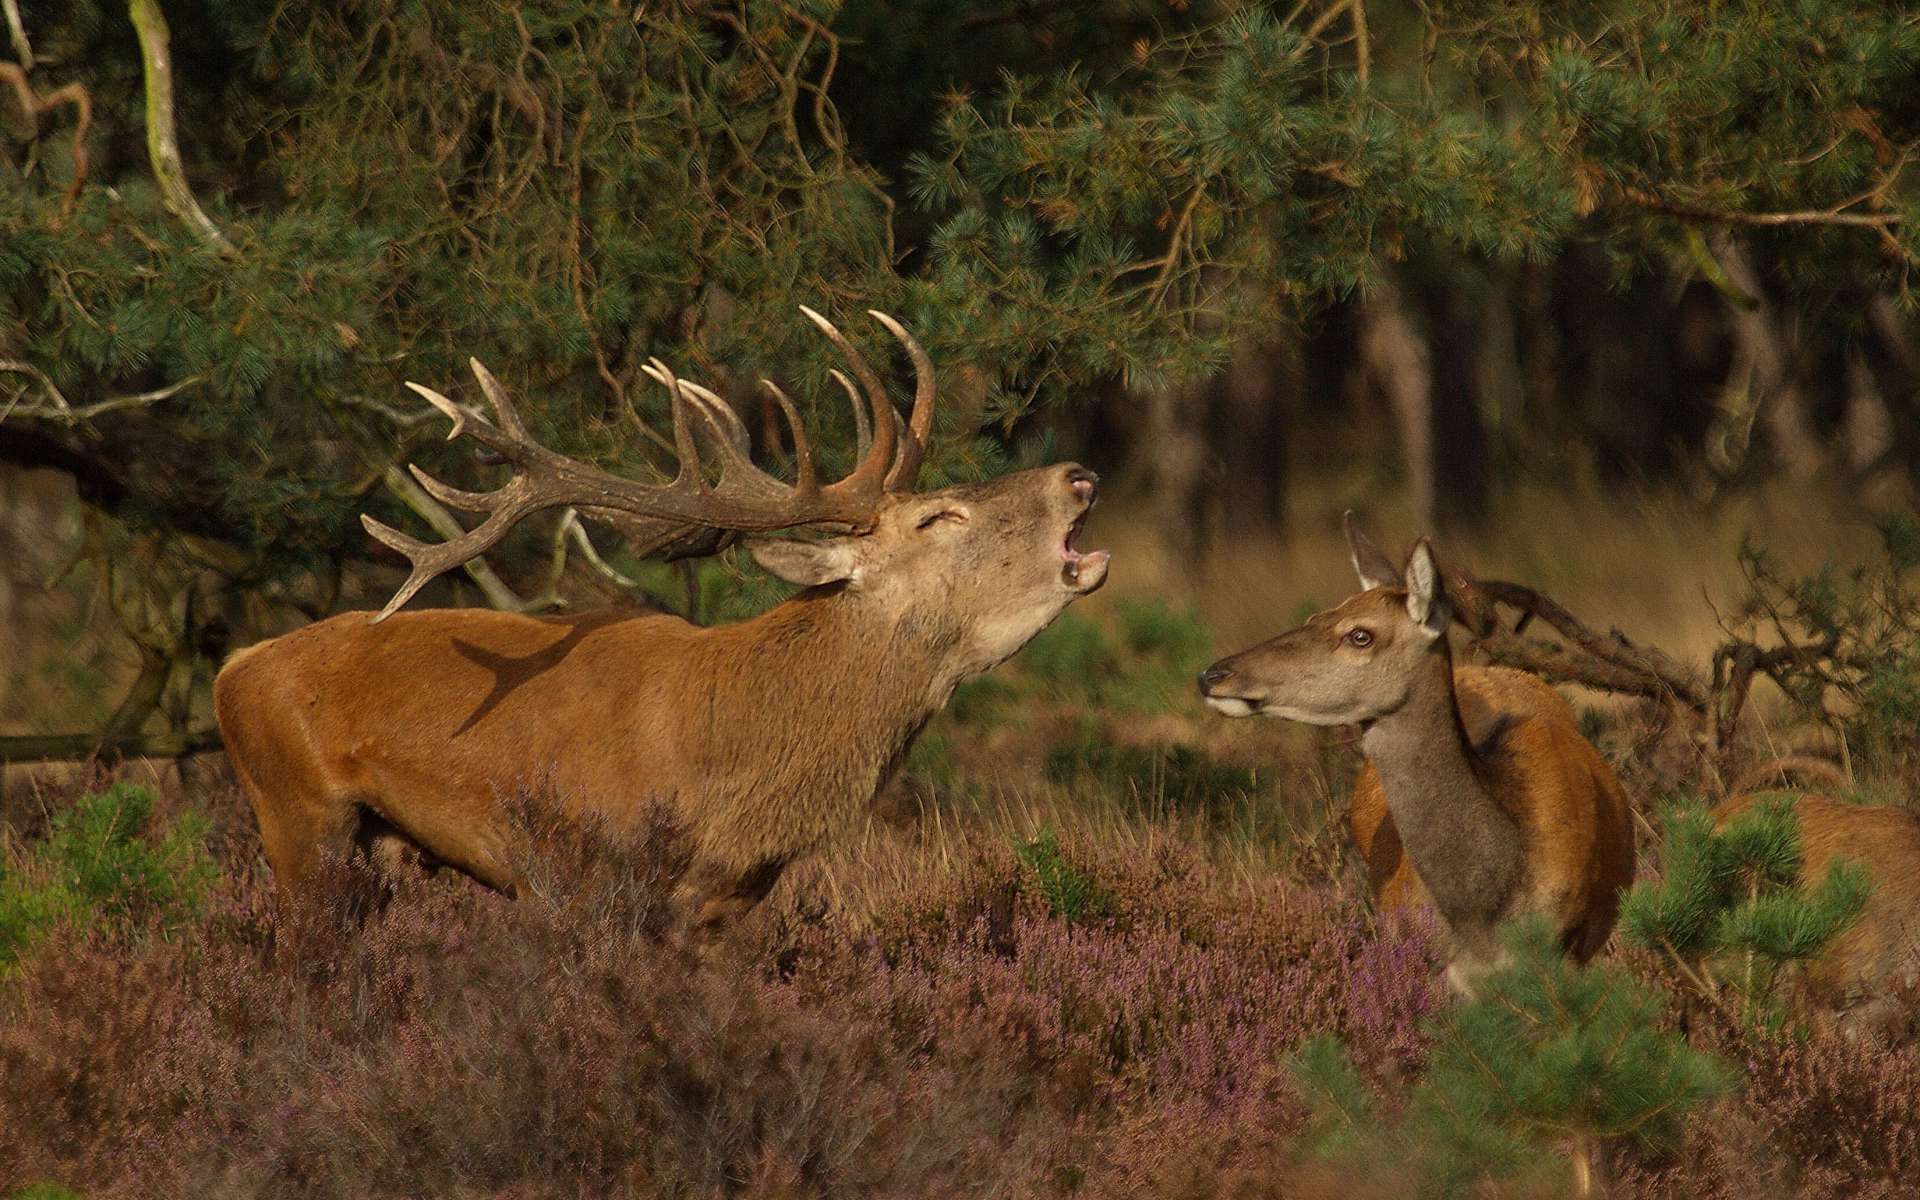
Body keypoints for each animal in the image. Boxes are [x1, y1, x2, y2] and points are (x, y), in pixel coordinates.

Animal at [210, 307, 1113, 925]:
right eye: (937, 518)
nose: (1079, 475)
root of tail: (232, 667)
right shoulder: (581, 880)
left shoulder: (724, 911)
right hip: (299, 822)